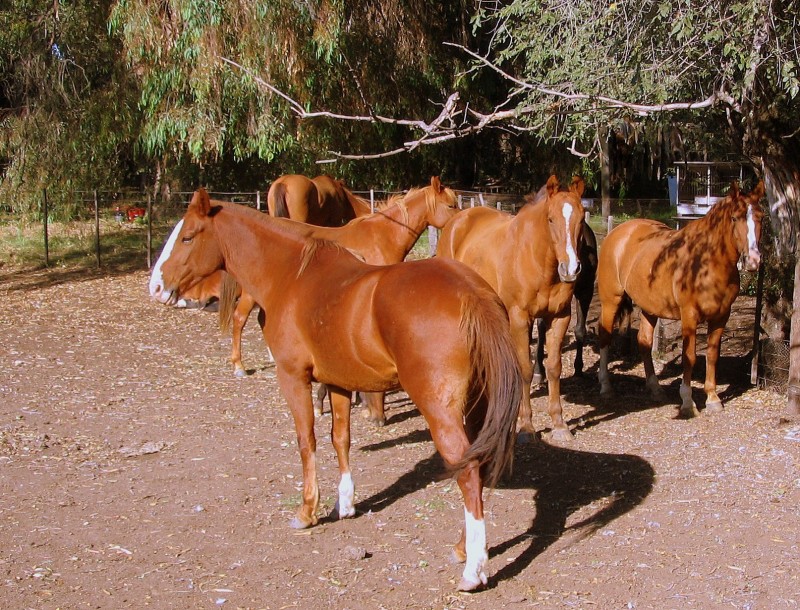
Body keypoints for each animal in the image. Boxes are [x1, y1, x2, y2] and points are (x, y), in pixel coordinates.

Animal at [160, 189, 528, 588]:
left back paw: (473, 569)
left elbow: (306, 440)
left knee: (467, 471)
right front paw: (345, 503)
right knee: (476, 465)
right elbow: (341, 439)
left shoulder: (293, 378)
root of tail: (470, 293)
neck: (292, 277)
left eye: (187, 237)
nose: (158, 286)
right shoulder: (338, 382)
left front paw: (307, 510)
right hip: (477, 404)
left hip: (441, 411)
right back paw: (464, 549)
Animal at [438, 176, 588, 442]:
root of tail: (457, 221)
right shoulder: (519, 318)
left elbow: (554, 368)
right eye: (550, 219)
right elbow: (525, 369)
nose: (570, 269)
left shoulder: (560, 317)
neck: (538, 260)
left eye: (581, 218)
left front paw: (559, 424)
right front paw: (526, 426)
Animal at [596, 179, 764, 414]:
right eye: (734, 217)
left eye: (761, 217)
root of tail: (617, 233)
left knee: (644, 342)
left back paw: (655, 388)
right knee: (605, 337)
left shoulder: (721, 316)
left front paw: (713, 398)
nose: (753, 260)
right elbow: (689, 356)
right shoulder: (689, 316)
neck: (706, 262)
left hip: (649, 307)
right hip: (611, 300)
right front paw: (687, 401)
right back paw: (605, 387)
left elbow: (712, 355)